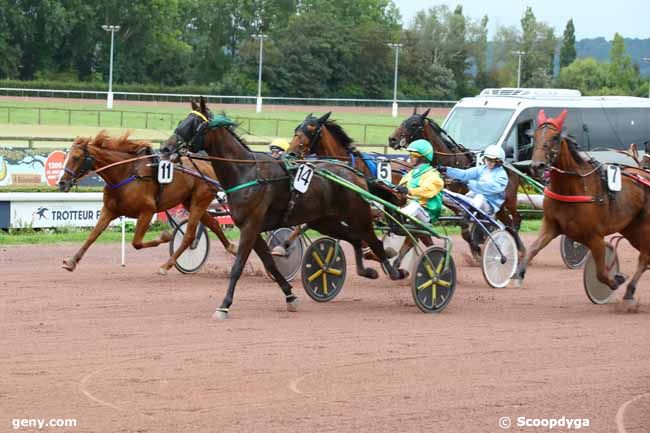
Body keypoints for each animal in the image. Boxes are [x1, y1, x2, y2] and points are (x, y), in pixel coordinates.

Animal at [57, 131, 235, 274]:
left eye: (76, 158)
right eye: (66, 157)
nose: (62, 183)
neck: (126, 173)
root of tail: (208, 165)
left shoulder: (147, 211)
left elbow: (136, 243)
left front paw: (165, 236)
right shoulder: (109, 210)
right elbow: (92, 236)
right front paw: (71, 261)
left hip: (199, 200)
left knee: (189, 235)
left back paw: (166, 265)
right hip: (189, 202)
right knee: (213, 224)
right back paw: (232, 248)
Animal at [388, 109, 524, 256]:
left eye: (413, 124)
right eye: (404, 121)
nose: (392, 139)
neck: (450, 161)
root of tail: (511, 167)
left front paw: (475, 246)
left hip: (510, 200)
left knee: (516, 219)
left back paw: (520, 248)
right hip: (500, 207)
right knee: (508, 222)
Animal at [508, 108, 644, 304]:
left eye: (555, 137)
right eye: (534, 136)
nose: (537, 166)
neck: (572, 188)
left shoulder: (595, 237)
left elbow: (601, 273)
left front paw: (615, 280)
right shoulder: (551, 225)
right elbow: (532, 249)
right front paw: (518, 274)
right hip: (631, 228)